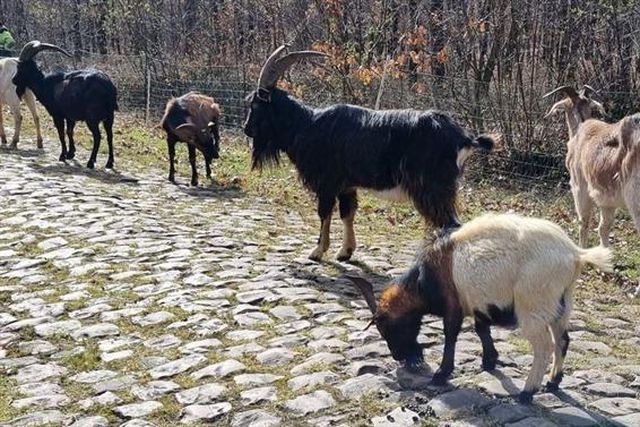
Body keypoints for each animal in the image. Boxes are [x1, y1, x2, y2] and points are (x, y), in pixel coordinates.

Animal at [244, 45, 494, 261]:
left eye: (255, 105)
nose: (246, 129)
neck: (306, 125)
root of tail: (463, 138)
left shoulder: (327, 183)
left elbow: (324, 214)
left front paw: (317, 251)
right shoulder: (347, 186)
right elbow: (347, 214)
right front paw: (345, 252)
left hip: (432, 189)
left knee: (451, 224)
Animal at [348, 213, 612, 404]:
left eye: (387, 327)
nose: (399, 356)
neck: (425, 278)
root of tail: (575, 255)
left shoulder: (453, 305)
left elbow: (451, 335)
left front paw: (441, 374)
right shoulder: (479, 305)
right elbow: (481, 329)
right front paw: (489, 361)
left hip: (533, 306)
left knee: (544, 346)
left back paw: (527, 393)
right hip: (561, 305)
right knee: (562, 340)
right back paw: (553, 382)